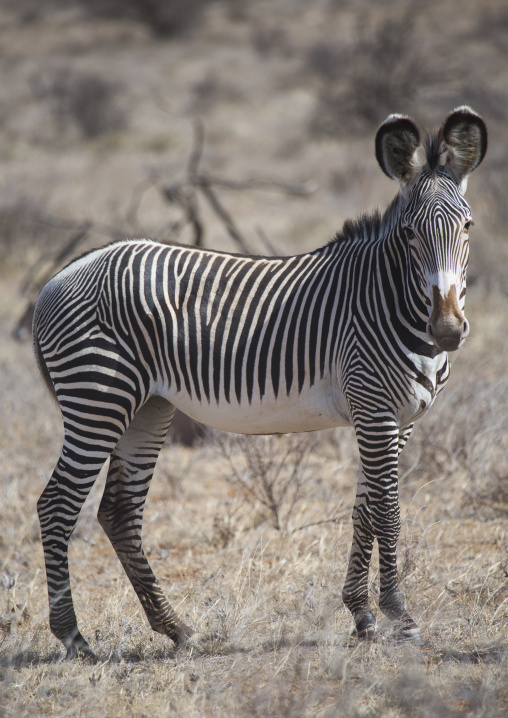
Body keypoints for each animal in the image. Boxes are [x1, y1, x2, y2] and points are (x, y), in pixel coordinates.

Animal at [33, 107, 487, 659]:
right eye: (409, 233)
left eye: (467, 226)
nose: (447, 330)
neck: (388, 298)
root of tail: (60, 276)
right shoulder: (375, 408)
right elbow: (389, 512)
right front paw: (400, 619)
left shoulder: (396, 420)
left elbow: (365, 511)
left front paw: (361, 615)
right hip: (97, 396)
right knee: (57, 505)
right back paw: (73, 638)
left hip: (146, 408)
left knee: (119, 512)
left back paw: (176, 628)